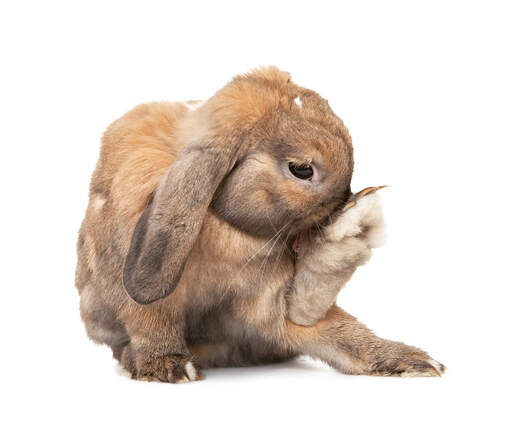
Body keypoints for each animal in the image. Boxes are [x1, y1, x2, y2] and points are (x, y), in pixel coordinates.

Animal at [76, 66, 444, 382]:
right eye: (302, 169)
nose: (342, 204)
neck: (225, 226)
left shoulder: (270, 299)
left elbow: (340, 333)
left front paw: (413, 361)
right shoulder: (150, 302)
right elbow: (152, 322)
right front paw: (170, 366)